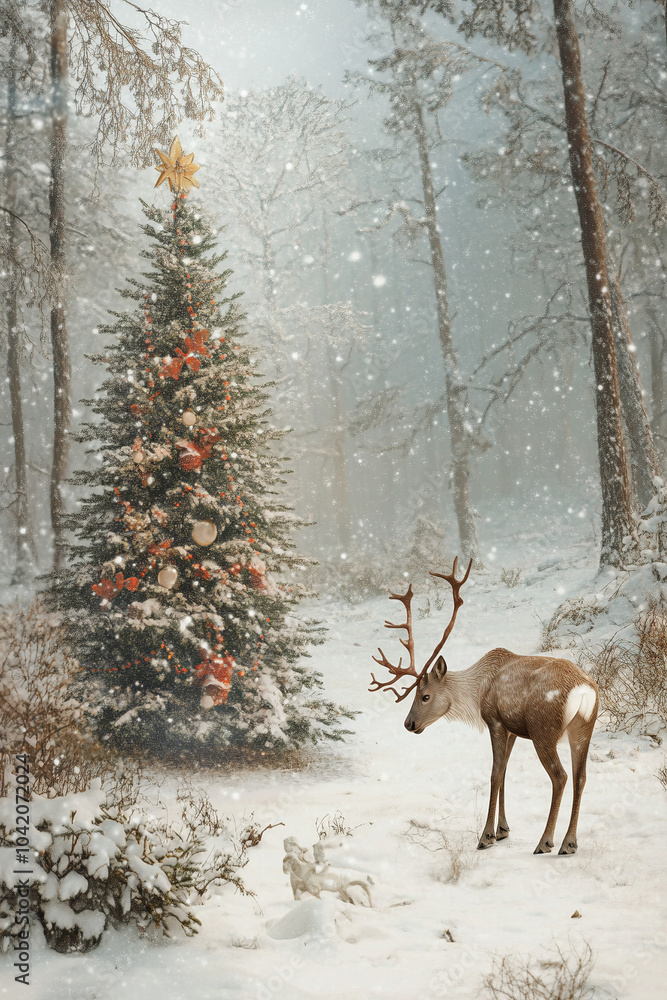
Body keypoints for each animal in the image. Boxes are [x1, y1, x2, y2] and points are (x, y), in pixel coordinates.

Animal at [369, 558, 598, 856]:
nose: (409, 724)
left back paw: (545, 842)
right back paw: (569, 842)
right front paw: (503, 829)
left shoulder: (495, 721)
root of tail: (584, 691)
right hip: (583, 728)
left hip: (543, 730)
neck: (478, 689)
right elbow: (505, 772)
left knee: (560, 776)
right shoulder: (513, 729)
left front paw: (486, 835)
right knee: (581, 776)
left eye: (425, 696)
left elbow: (494, 773)